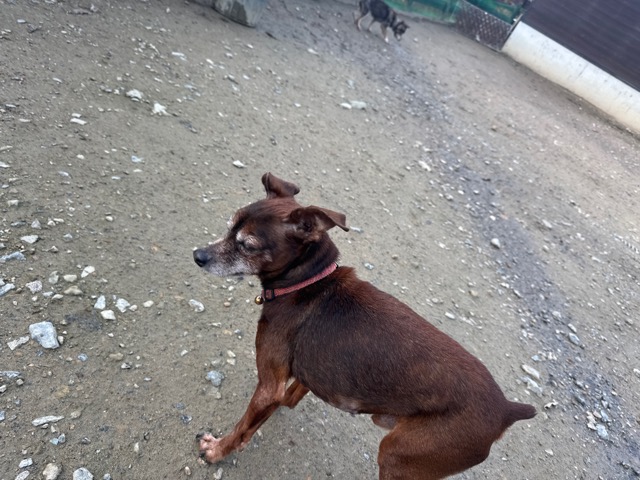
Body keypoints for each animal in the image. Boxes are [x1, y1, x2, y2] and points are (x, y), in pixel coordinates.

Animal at [193, 173, 536, 479]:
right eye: (229, 227)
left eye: (247, 245)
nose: (198, 255)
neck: (307, 283)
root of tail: (506, 410)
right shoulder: (302, 374)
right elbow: (289, 396)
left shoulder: (268, 385)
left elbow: (243, 427)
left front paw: (217, 450)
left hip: (398, 456)